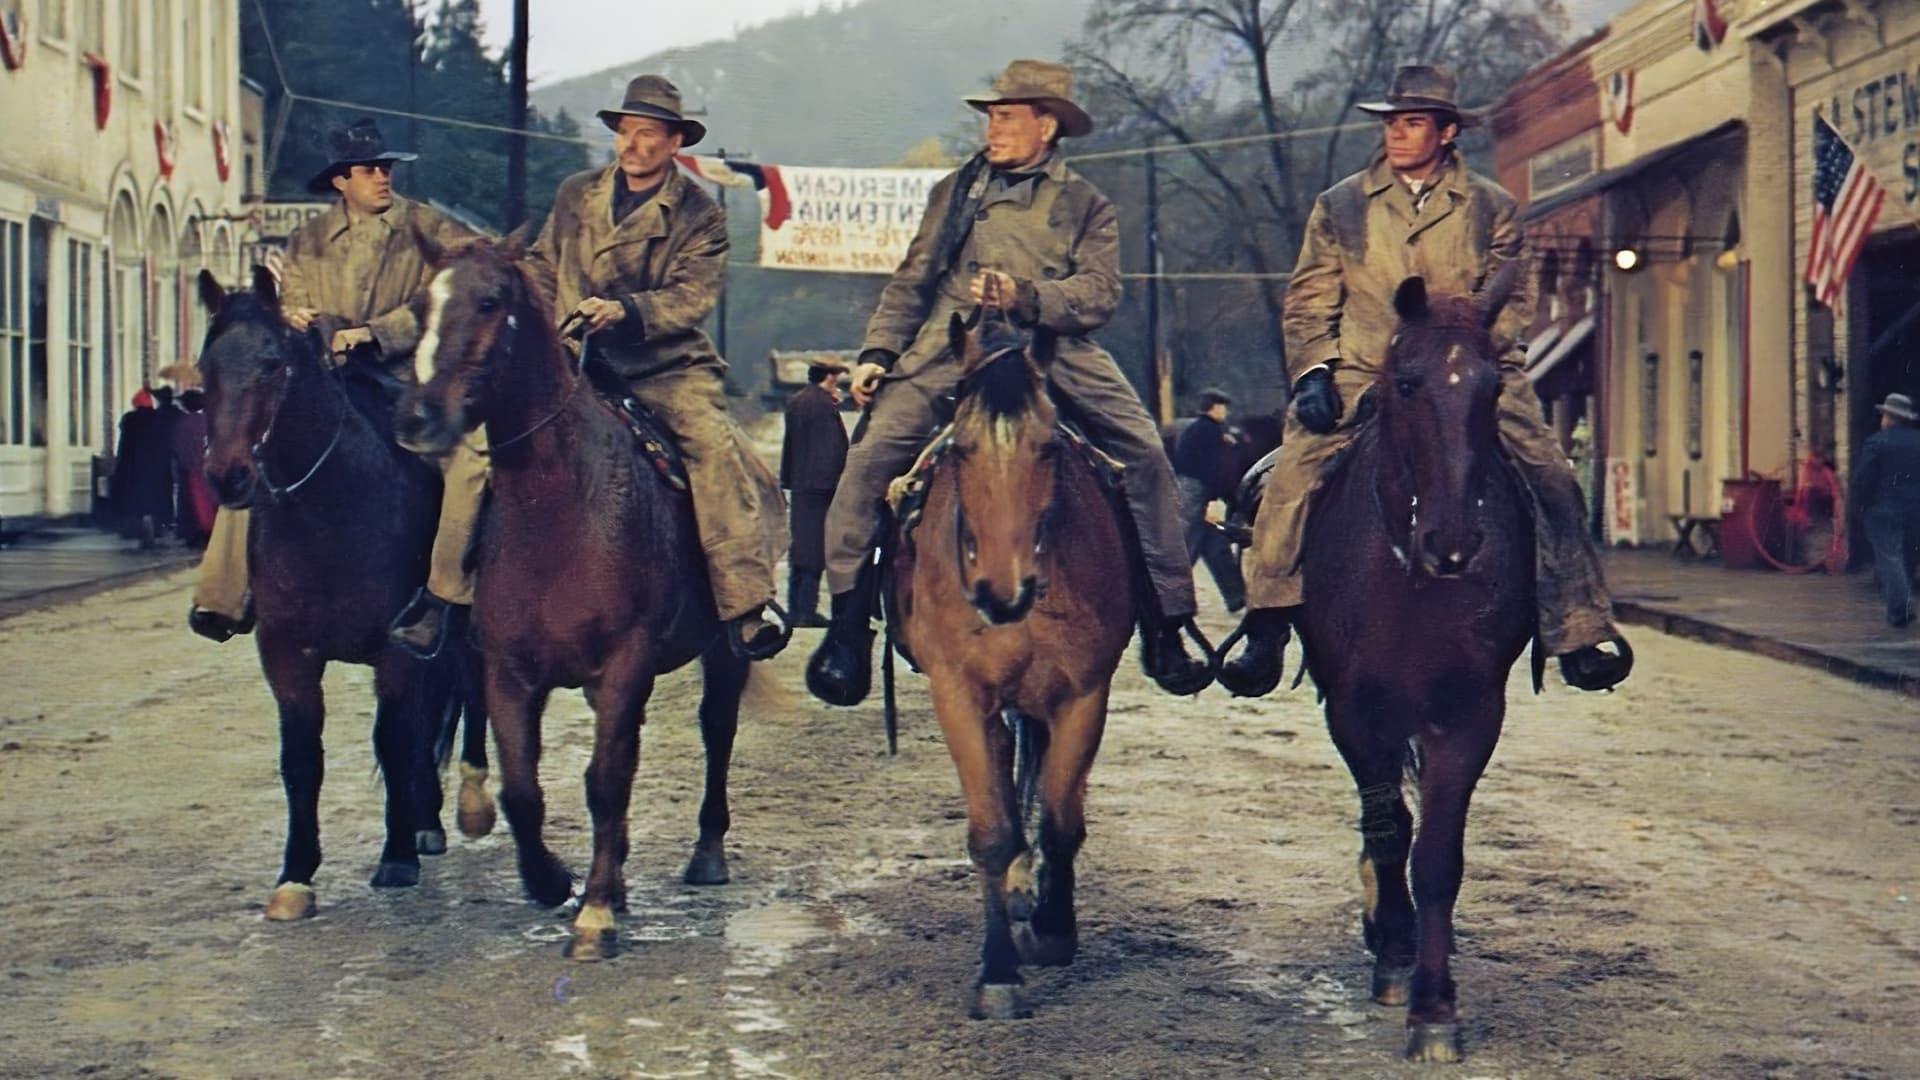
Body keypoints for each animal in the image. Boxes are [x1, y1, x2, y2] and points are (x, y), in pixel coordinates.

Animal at [192, 267, 491, 914]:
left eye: (272, 363)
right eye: (205, 367)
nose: (227, 476)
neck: (329, 509)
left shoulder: (395, 651)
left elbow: (393, 737)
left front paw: (396, 857)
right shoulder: (287, 654)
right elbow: (302, 758)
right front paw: (295, 876)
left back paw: (466, 806)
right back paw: (427, 817)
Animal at [393, 235, 744, 957]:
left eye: (490, 301)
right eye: (420, 304)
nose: (417, 417)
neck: (558, 503)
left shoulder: (623, 664)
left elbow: (604, 781)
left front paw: (597, 913)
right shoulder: (507, 672)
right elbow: (523, 790)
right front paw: (552, 881)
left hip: (726, 650)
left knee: (715, 728)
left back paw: (707, 854)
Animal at [887, 311, 1136, 1014]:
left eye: (1049, 448)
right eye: (962, 449)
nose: (1004, 590)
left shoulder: (1084, 695)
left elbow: (1059, 821)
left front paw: (1052, 930)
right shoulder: (959, 695)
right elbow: (992, 830)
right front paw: (997, 972)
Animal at [1297, 276, 1536, 1060]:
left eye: (1494, 387)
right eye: (1406, 383)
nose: (1454, 542)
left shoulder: (1469, 715)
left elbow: (1435, 856)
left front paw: (1435, 1008)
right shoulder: (1353, 711)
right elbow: (1389, 829)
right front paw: (1397, 955)